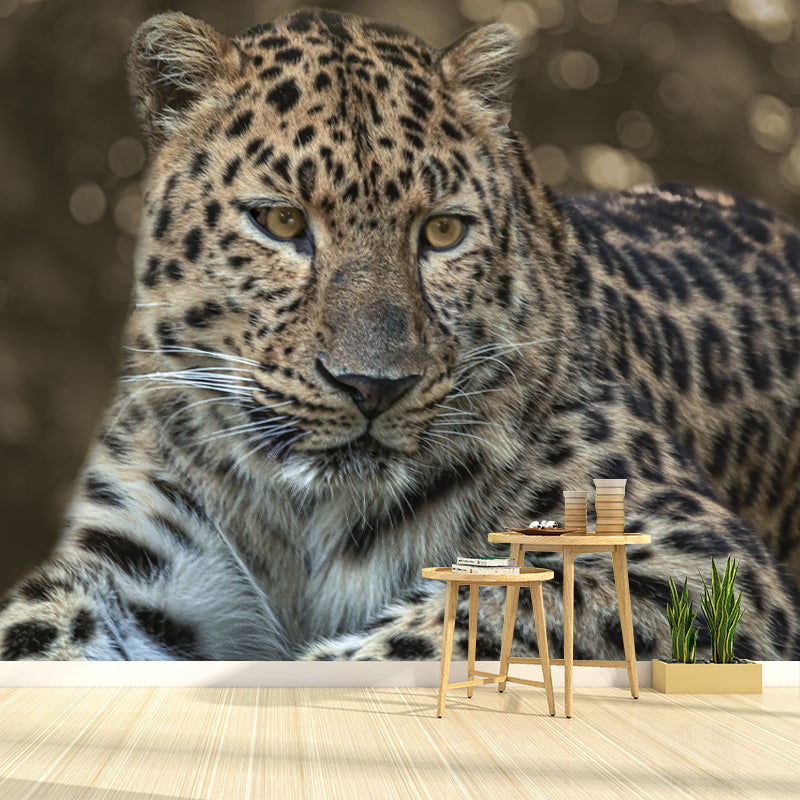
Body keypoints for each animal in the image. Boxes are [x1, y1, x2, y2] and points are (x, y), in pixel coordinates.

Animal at [1, 9, 798, 663]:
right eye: (282, 222)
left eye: (442, 232)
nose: (372, 387)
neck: (310, 522)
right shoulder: (129, 569)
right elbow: (35, 635)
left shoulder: (694, 562)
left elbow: (477, 616)